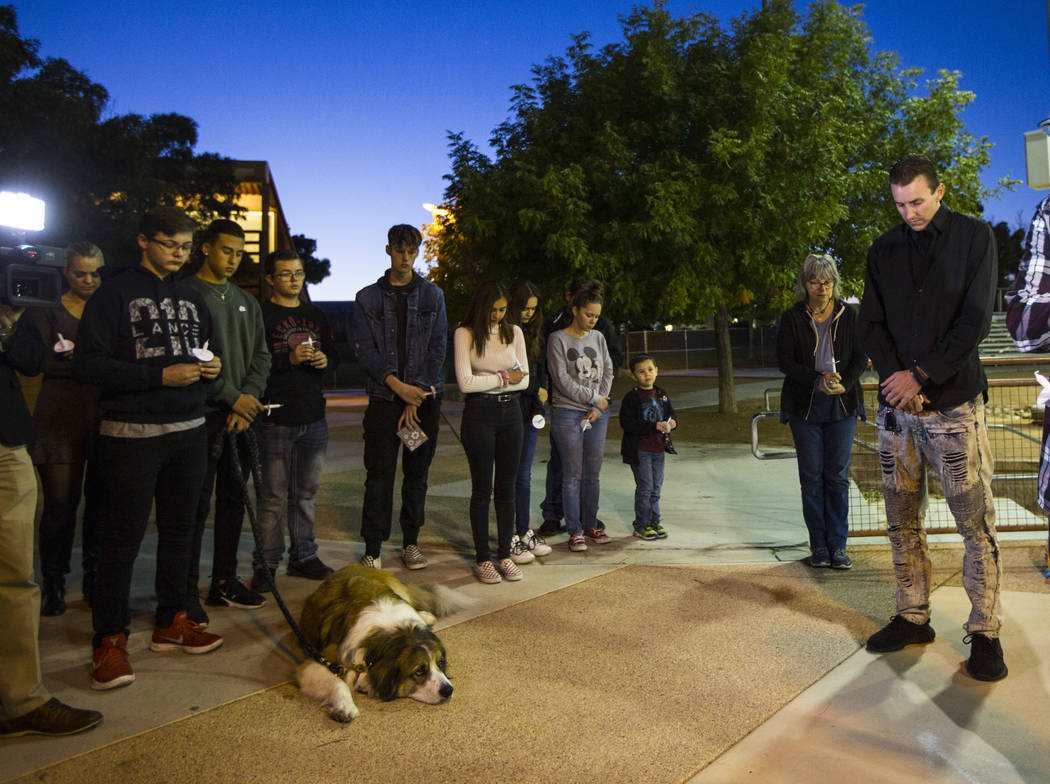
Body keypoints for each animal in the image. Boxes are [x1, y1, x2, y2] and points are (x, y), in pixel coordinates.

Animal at [294, 562, 461, 722]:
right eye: (419, 671)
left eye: (440, 663)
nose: (448, 690)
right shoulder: (316, 663)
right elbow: (339, 683)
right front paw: (345, 707)